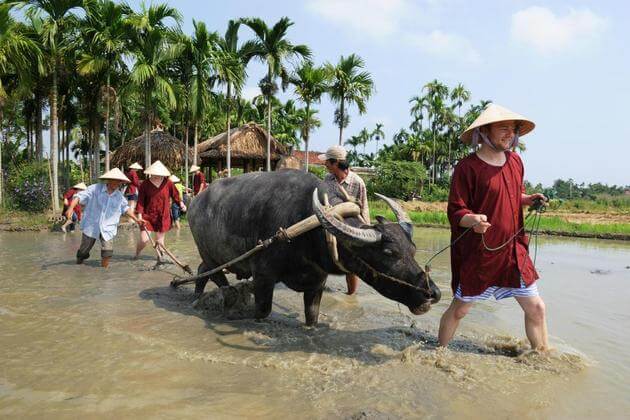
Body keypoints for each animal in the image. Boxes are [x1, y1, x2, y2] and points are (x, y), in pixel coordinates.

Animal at [188, 169, 442, 326]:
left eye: (413, 249)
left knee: (202, 272)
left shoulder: (317, 283)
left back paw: (197, 297)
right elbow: (262, 311)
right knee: (216, 278)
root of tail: (194, 202)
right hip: (210, 254)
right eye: (389, 253)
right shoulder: (263, 276)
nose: (433, 294)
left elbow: (312, 316)